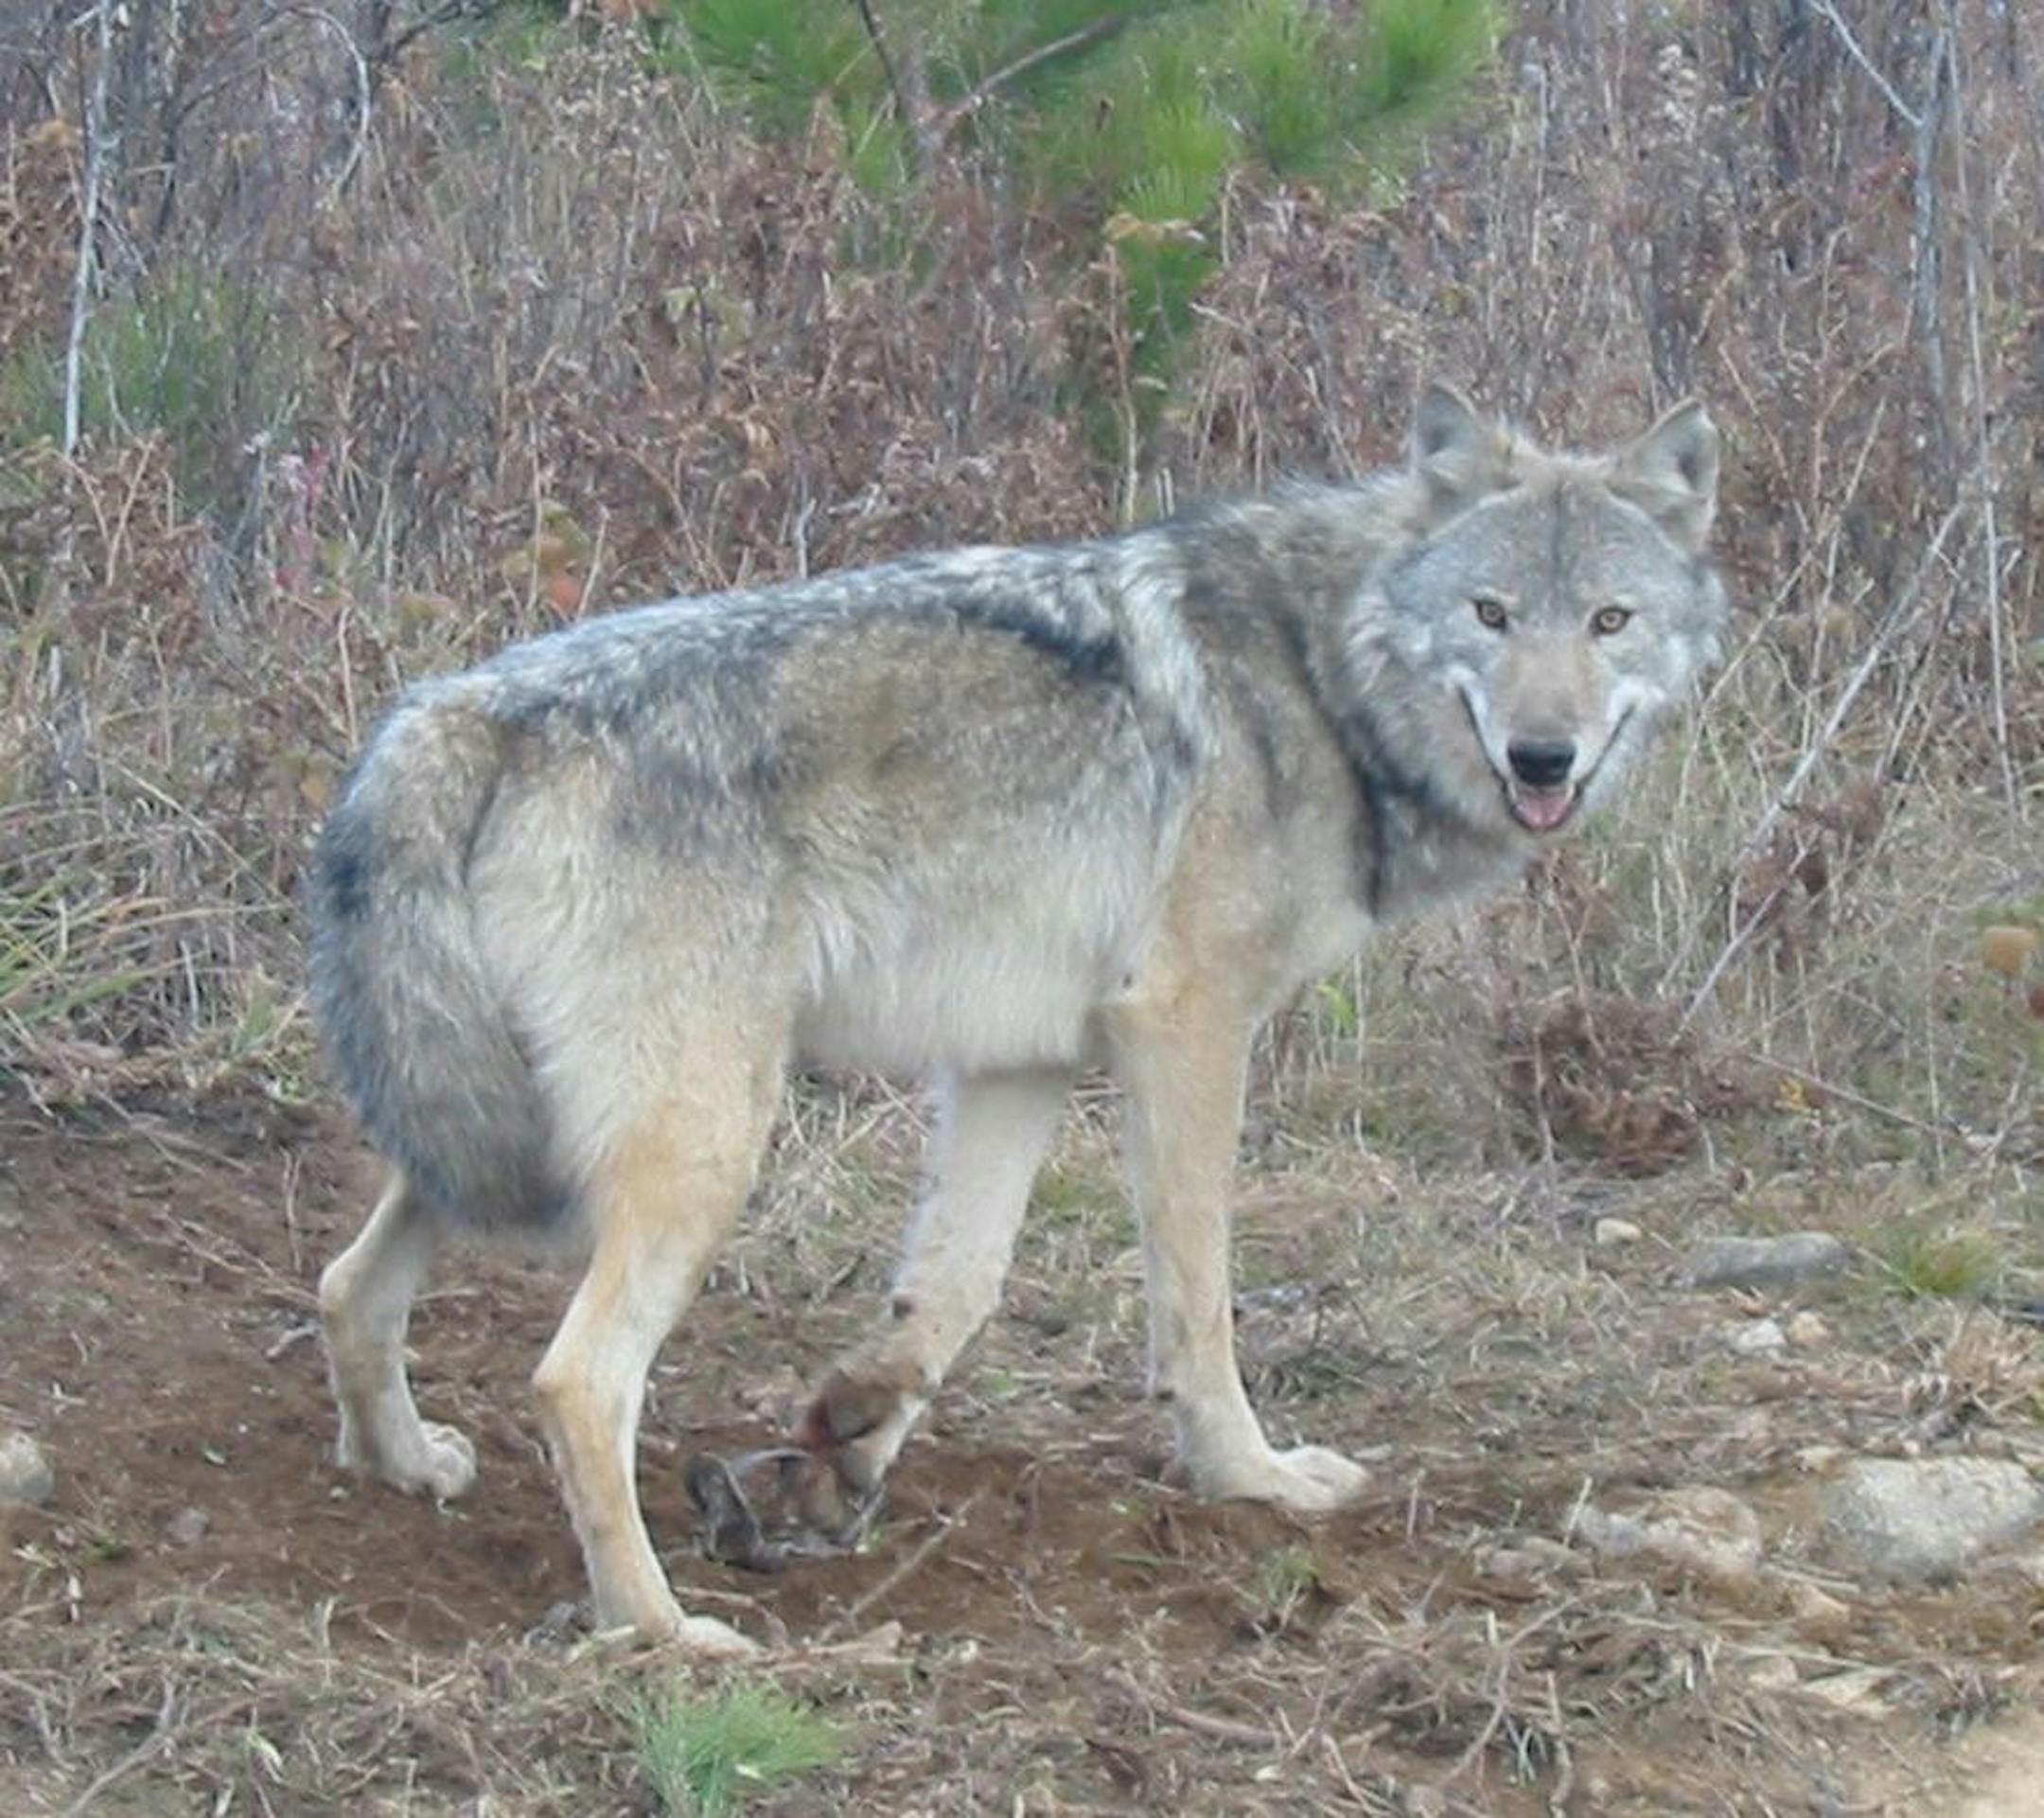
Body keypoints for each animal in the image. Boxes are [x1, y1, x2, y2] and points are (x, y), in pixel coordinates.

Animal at [310, 384, 1726, 1651]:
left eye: (1609, 622)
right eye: (1491, 615)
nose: (1544, 756)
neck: (1318, 677)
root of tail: (460, 709)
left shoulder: (1021, 1059)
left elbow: (955, 1289)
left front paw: (846, 1439)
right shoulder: (1186, 1027)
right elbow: (1199, 1297)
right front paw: (1250, 1476)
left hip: (507, 1137)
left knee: (348, 1284)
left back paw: (406, 1465)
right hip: (701, 1146)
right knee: (576, 1380)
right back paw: (658, 1628)